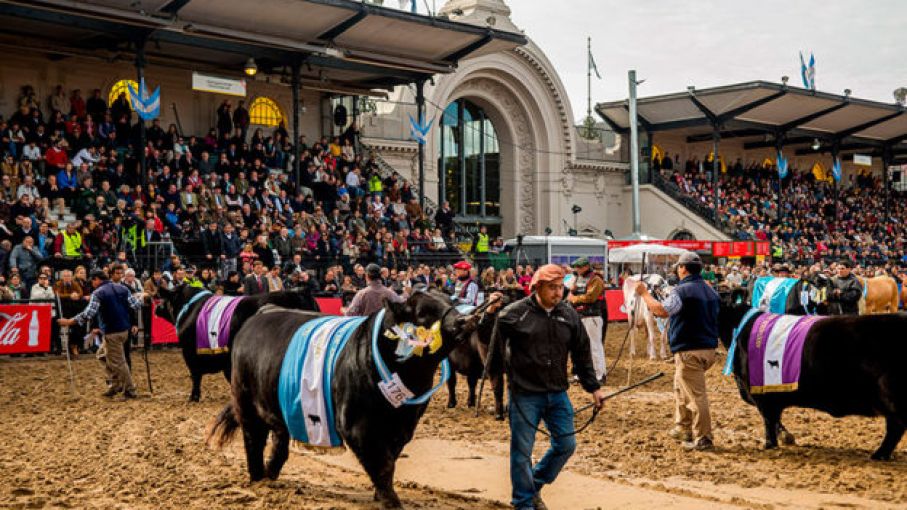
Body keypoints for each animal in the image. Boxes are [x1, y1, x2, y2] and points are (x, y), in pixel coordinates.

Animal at [724, 294, 907, 458]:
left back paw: (879, 454)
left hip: (891, 394)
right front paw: (785, 438)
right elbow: (774, 420)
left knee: (895, 427)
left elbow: (769, 421)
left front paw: (770, 445)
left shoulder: (762, 395)